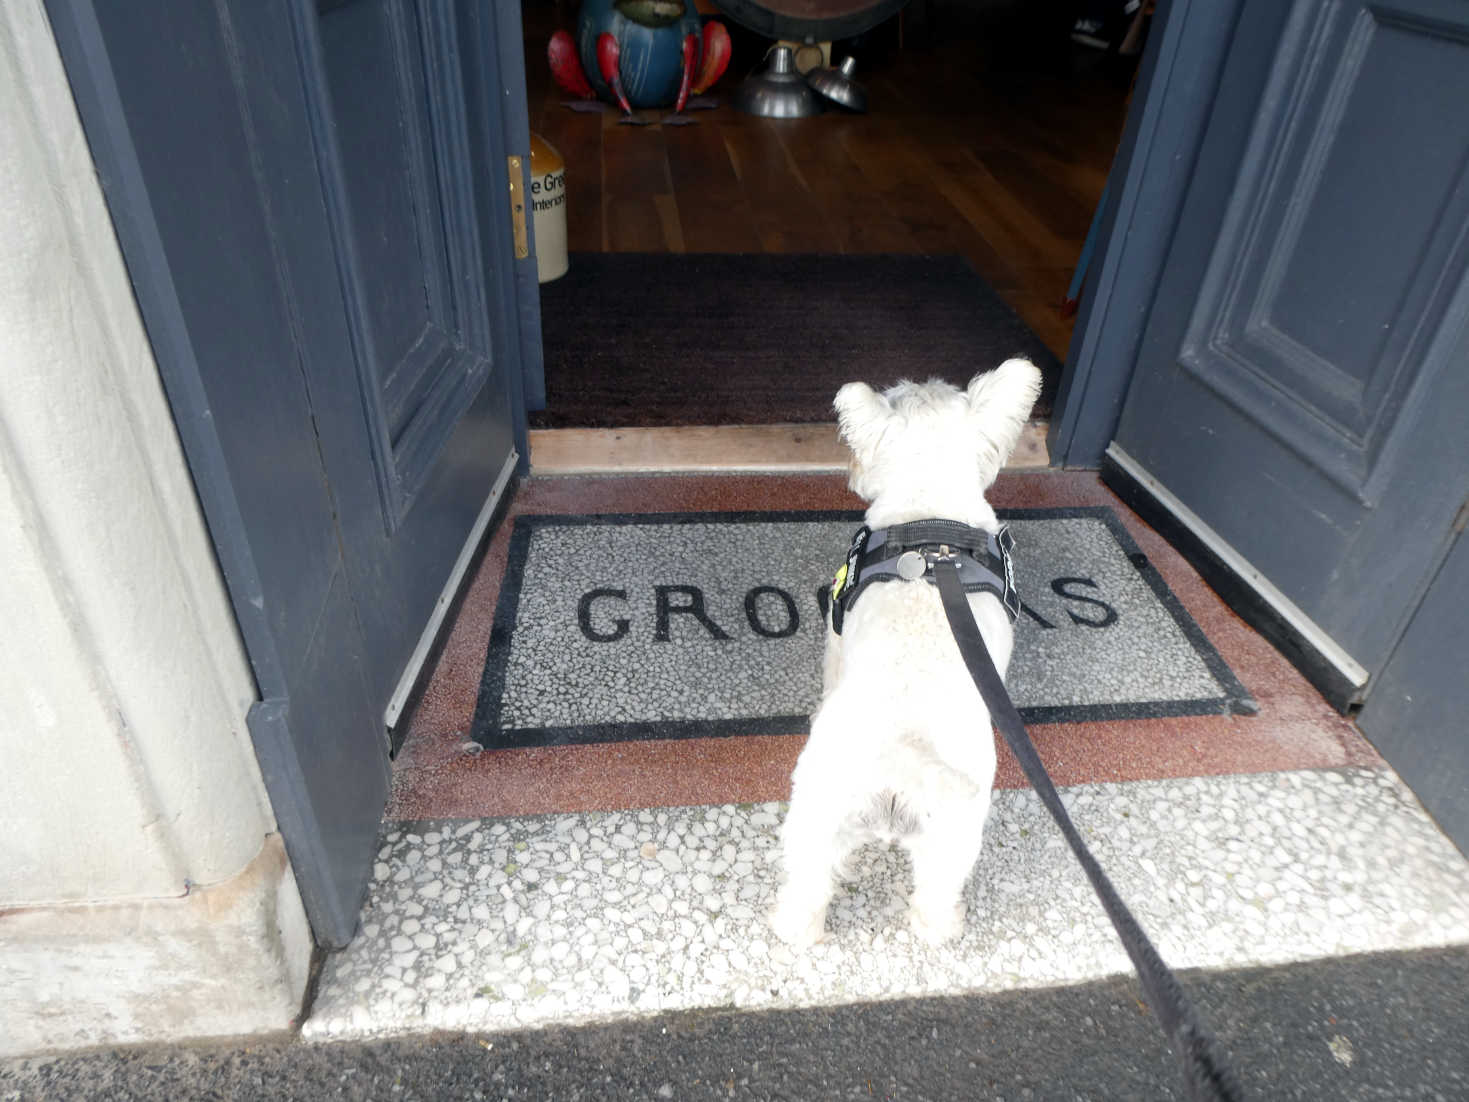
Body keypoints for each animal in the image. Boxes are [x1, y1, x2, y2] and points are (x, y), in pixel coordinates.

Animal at [769, 362, 1045, 952]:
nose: (848, 468)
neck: (931, 507)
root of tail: (903, 760)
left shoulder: (835, 635)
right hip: (945, 835)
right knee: (929, 895)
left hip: (819, 812)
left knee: (810, 886)